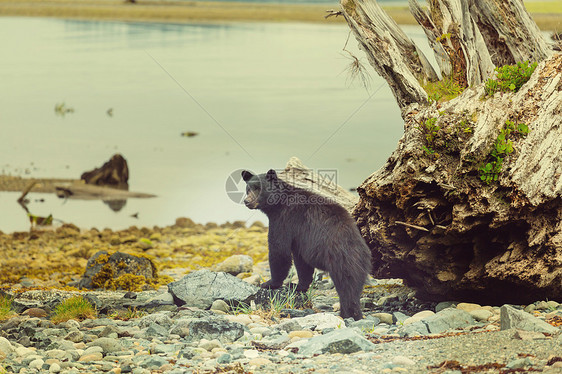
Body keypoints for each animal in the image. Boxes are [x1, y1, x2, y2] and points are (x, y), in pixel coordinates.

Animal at [240, 169, 368, 318]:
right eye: (248, 189)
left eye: (258, 189)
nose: (247, 201)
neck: (278, 204)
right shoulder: (301, 240)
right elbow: (302, 263)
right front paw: (297, 286)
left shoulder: (284, 220)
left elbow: (279, 251)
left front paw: (269, 283)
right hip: (359, 261)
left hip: (340, 259)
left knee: (347, 287)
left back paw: (348, 313)